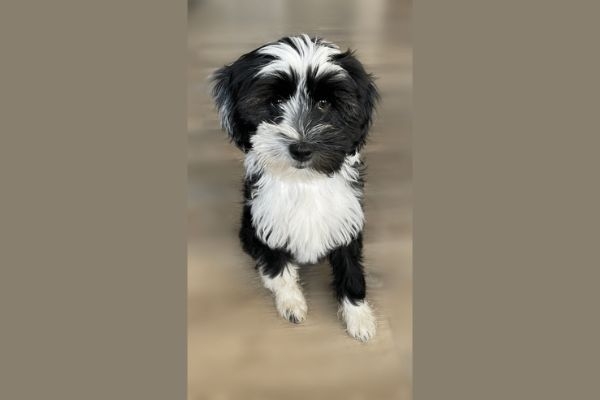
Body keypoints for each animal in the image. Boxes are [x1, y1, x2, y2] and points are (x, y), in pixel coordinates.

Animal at [211, 34, 380, 340]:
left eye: (324, 103)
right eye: (276, 101)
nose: (301, 148)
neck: (303, 182)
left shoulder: (347, 218)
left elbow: (350, 267)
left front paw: (359, 317)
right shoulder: (265, 221)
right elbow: (278, 267)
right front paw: (292, 303)